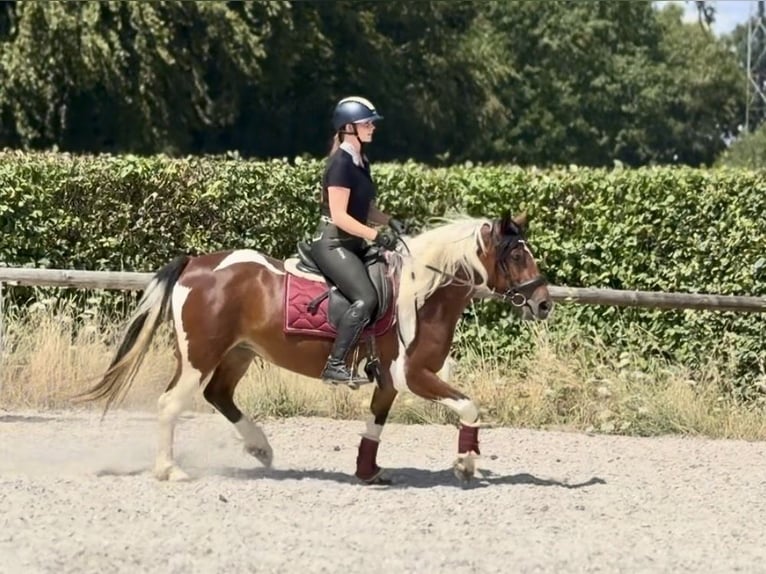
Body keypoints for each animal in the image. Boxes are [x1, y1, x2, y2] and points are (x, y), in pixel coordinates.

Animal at [74, 211, 552, 484]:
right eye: (515, 256)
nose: (544, 303)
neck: (423, 292)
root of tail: (195, 265)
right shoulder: (413, 375)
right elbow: (470, 406)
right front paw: (466, 464)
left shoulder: (389, 380)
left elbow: (375, 425)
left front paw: (368, 472)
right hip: (199, 356)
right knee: (171, 403)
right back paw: (170, 470)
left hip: (238, 353)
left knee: (219, 395)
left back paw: (261, 449)